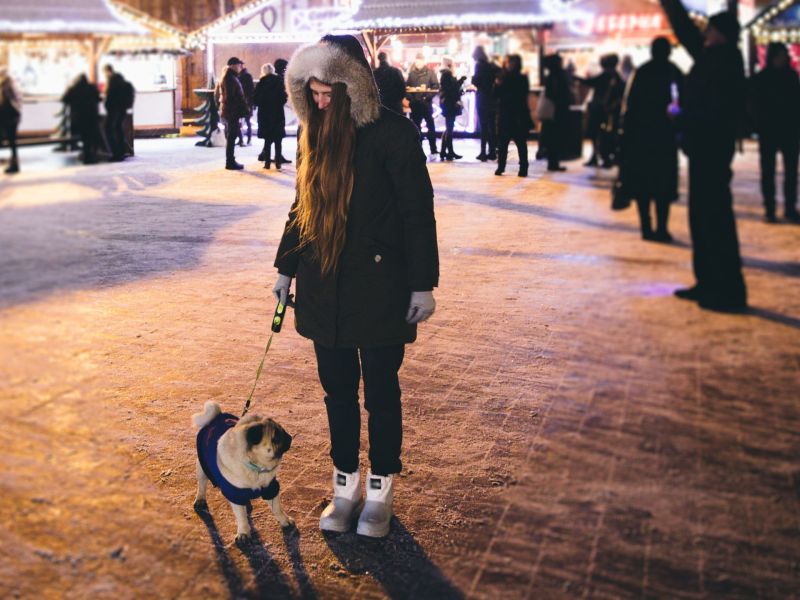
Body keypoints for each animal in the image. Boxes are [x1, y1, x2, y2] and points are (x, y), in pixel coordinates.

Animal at [193, 400, 294, 540]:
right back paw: (200, 500)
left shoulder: (270, 488)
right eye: (276, 437)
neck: (257, 467)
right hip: (202, 467)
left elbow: (277, 508)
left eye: (282, 431)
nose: (289, 437)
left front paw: (285, 521)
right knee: (202, 485)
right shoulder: (234, 493)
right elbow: (241, 516)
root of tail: (217, 415)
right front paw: (243, 533)